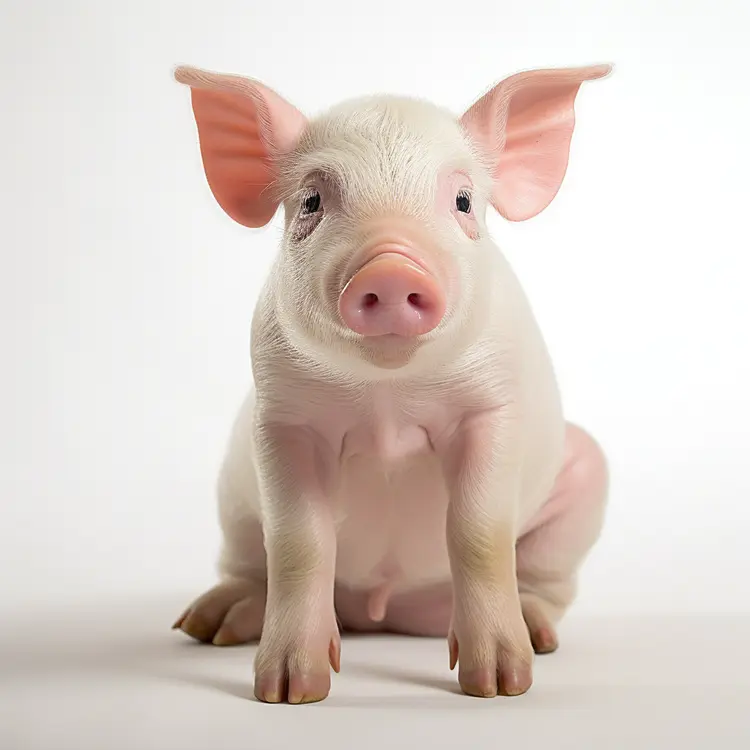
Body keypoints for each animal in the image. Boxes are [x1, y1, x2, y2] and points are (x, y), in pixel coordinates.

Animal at [171, 63, 611, 704]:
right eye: (312, 200)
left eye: (463, 201)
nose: (392, 267)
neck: (387, 398)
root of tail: (385, 611)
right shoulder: (282, 420)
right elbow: (298, 540)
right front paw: (288, 693)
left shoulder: (491, 406)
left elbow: (479, 531)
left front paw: (500, 686)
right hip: (232, 491)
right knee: (249, 560)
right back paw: (207, 626)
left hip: (584, 476)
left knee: (546, 577)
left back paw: (538, 633)